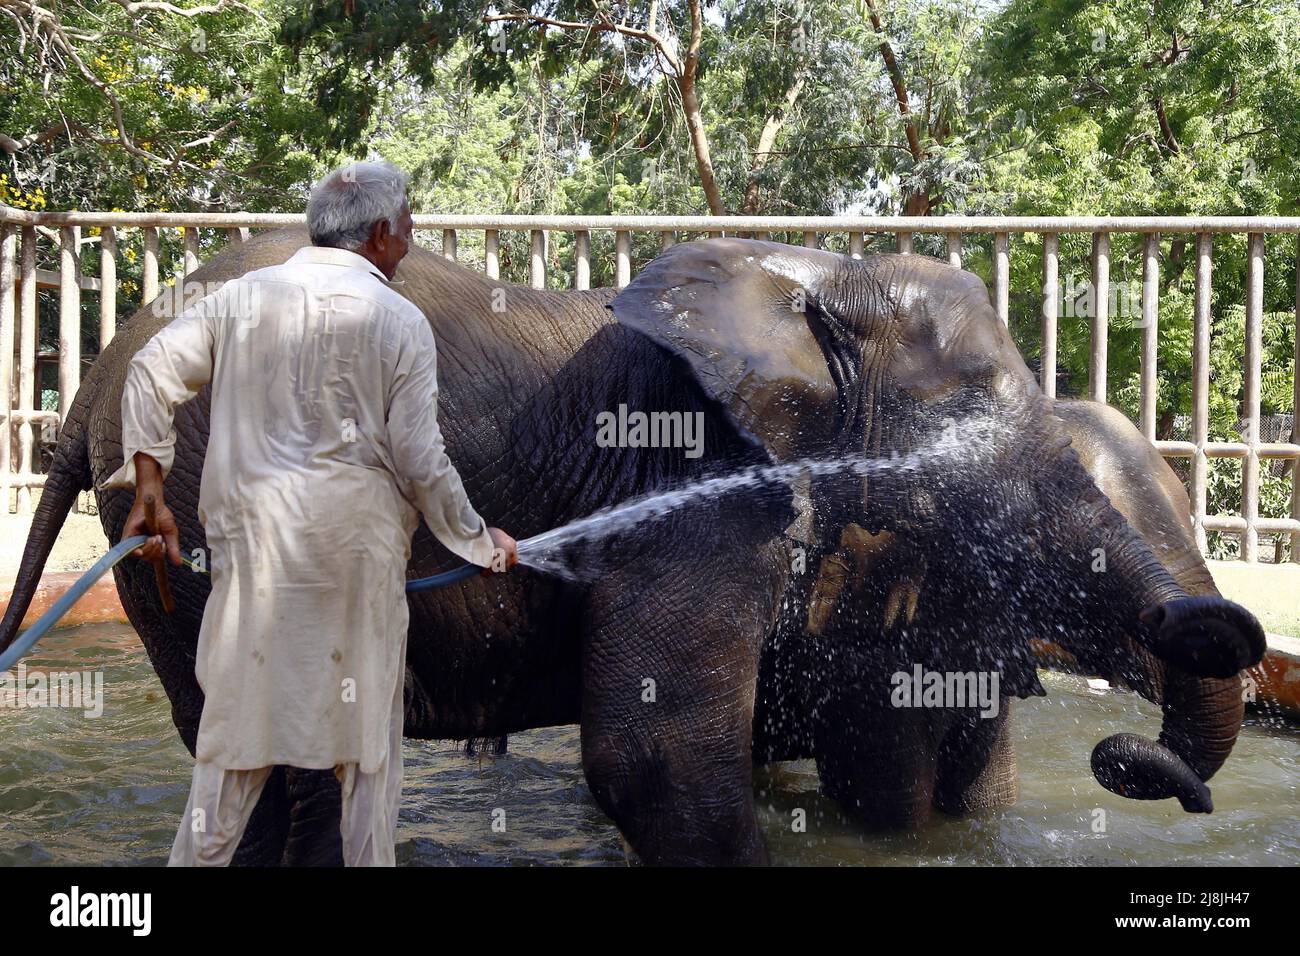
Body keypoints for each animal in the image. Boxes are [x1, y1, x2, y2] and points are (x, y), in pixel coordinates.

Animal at [0, 234, 1258, 868]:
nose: (1221, 620)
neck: (809, 278)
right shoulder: (690, 495)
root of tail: (89, 392)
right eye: (974, 430)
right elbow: (656, 761)